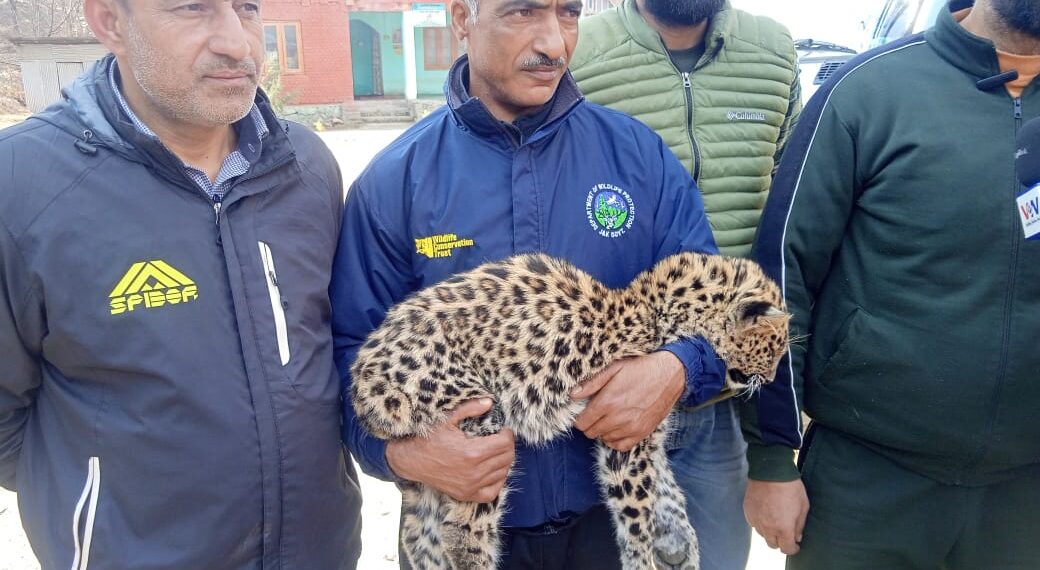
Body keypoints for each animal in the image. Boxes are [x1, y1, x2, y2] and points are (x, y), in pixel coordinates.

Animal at [351, 251, 790, 570]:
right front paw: (644, 561)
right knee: (461, 530)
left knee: (419, 535)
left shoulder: (646, 434)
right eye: (775, 348)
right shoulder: (624, 445)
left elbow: (668, 494)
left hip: (428, 464)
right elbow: (636, 517)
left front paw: (681, 543)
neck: (656, 313)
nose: (769, 379)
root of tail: (360, 381)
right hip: (475, 429)